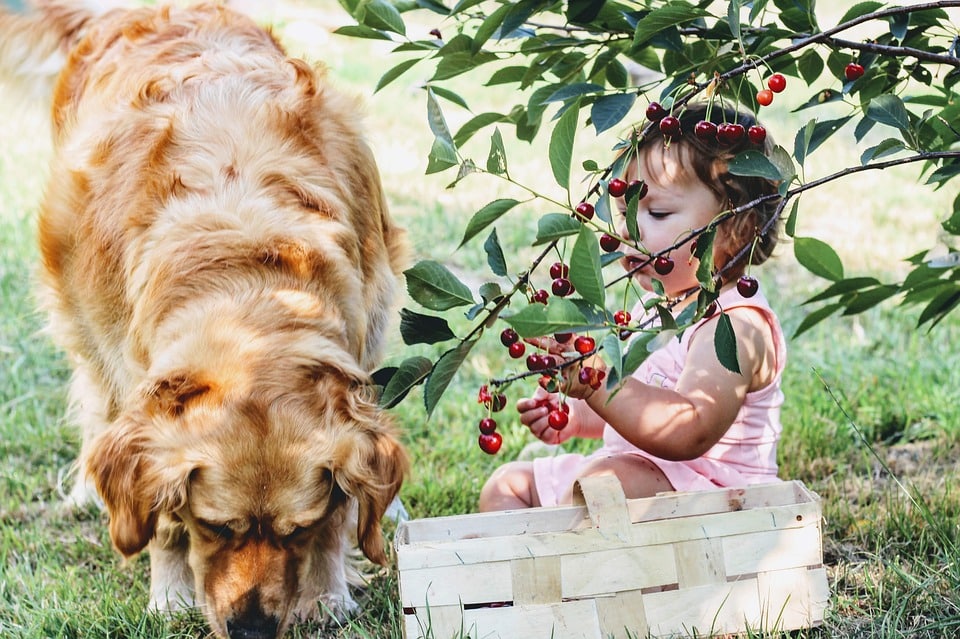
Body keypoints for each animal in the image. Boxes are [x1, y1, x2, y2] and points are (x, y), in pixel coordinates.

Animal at [0, 2, 408, 636]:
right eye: (214, 525)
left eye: (296, 529)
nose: (253, 630)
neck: (251, 283)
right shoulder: (138, 391)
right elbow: (158, 515)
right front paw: (170, 594)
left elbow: (343, 508)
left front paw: (327, 592)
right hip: (79, 316)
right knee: (93, 399)